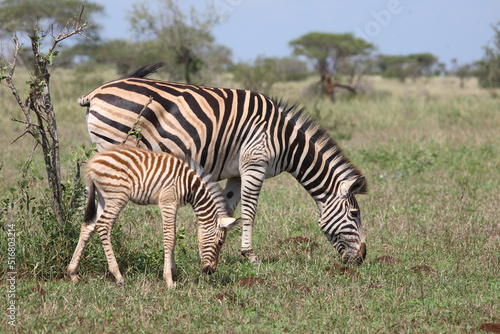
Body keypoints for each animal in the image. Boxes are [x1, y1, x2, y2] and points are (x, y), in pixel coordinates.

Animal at [67, 145, 239, 288]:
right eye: (220, 242)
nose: (211, 271)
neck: (191, 187)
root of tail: (92, 162)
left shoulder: (173, 204)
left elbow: (173, 237)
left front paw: (174, 272)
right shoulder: (168, 201)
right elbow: (170, 237)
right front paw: (169, 280)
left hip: (104, 197)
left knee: (89, 226)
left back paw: (73, 273)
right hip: (117, 197)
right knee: (103, 225)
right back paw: (118, 276)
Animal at [78, 64, 368, 264]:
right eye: (355, 214)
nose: (363, 258)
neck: (286, 141)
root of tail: (96, 91)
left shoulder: (237, 173)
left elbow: (228, 210)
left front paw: (214, 248)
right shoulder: (254, 164)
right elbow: (249, 212)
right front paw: (250, 256)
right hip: (113, 148)